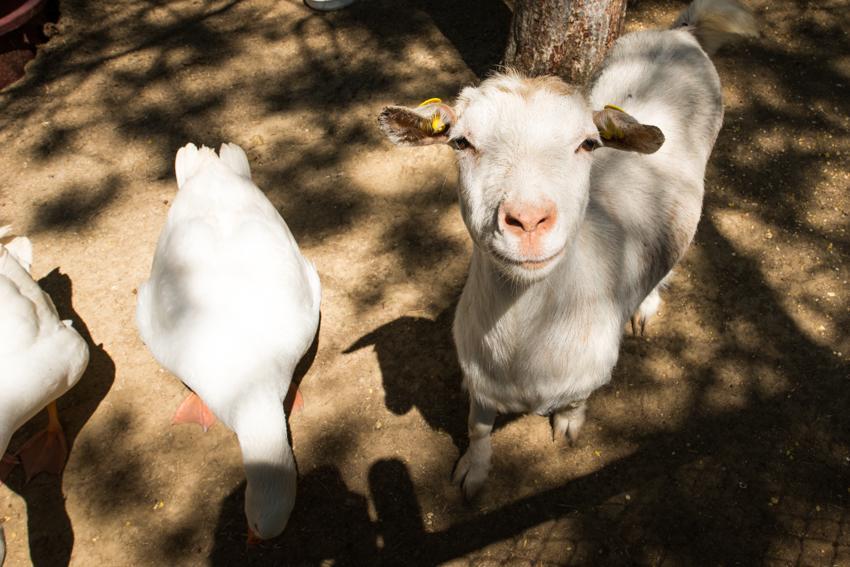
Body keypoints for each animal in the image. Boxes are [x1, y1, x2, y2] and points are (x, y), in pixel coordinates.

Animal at [378, 0, 756, 496]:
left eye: (588, 144)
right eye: (461, 142)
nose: (528, 220)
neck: (526, 344)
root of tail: (682, 33)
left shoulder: (588, 374)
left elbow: (575, 404)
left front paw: (568, 427)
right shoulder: (479, 378)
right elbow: (478, 427)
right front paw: (473, 472)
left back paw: (647, 306)